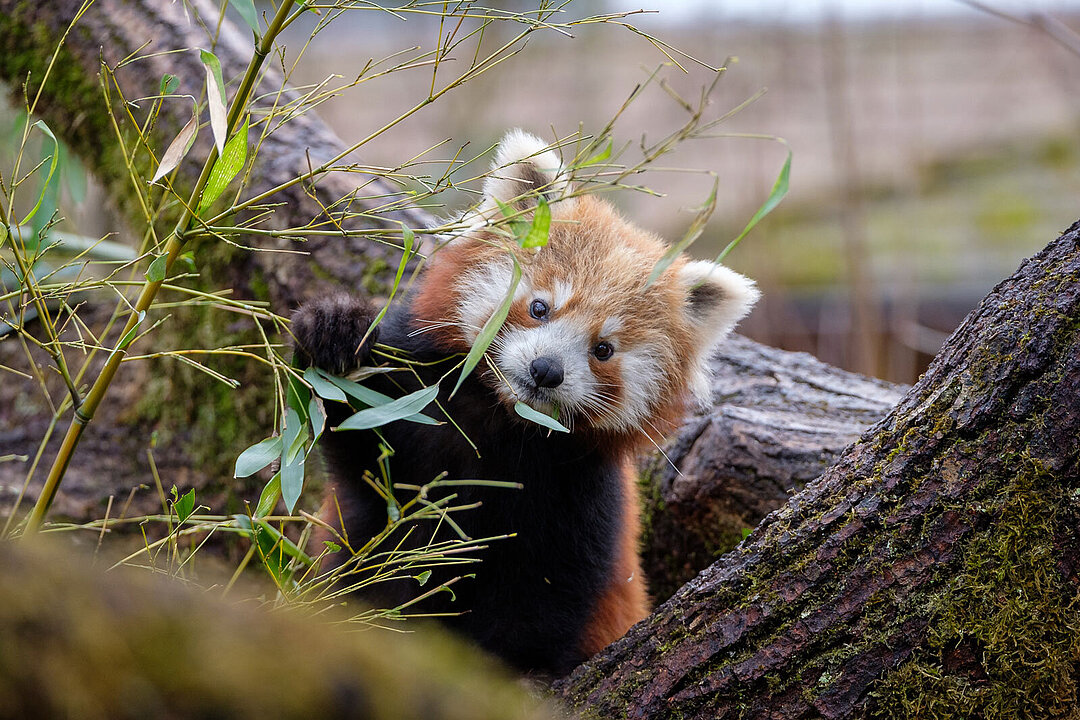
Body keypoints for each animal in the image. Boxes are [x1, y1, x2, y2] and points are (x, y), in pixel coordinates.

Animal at [289, 129, 760, 677]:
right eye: (539, 308)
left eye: (603, 349)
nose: (546, 370)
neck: (502, 424)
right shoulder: (414, 414)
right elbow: (367, 482)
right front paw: (335, 328)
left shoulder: (579, 496)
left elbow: (544, 599)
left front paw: (515, 673)